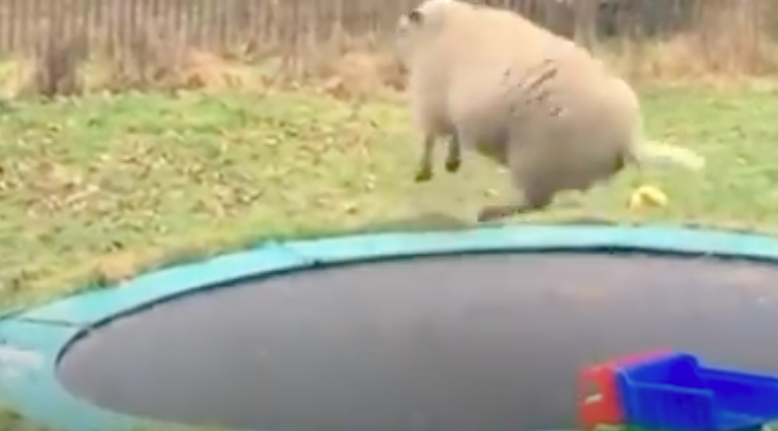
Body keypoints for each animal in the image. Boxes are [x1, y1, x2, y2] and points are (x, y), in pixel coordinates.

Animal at [394, 0, 704, 223]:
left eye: (403, 30)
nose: (396, 65)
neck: (437, 29)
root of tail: (628, 140)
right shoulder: (447, 112)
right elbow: (450, 136)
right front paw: (450, 162)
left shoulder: (430, 101)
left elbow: (430, 136)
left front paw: (425, 170)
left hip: (532, 160)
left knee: (536, 204)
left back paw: (492, 212)